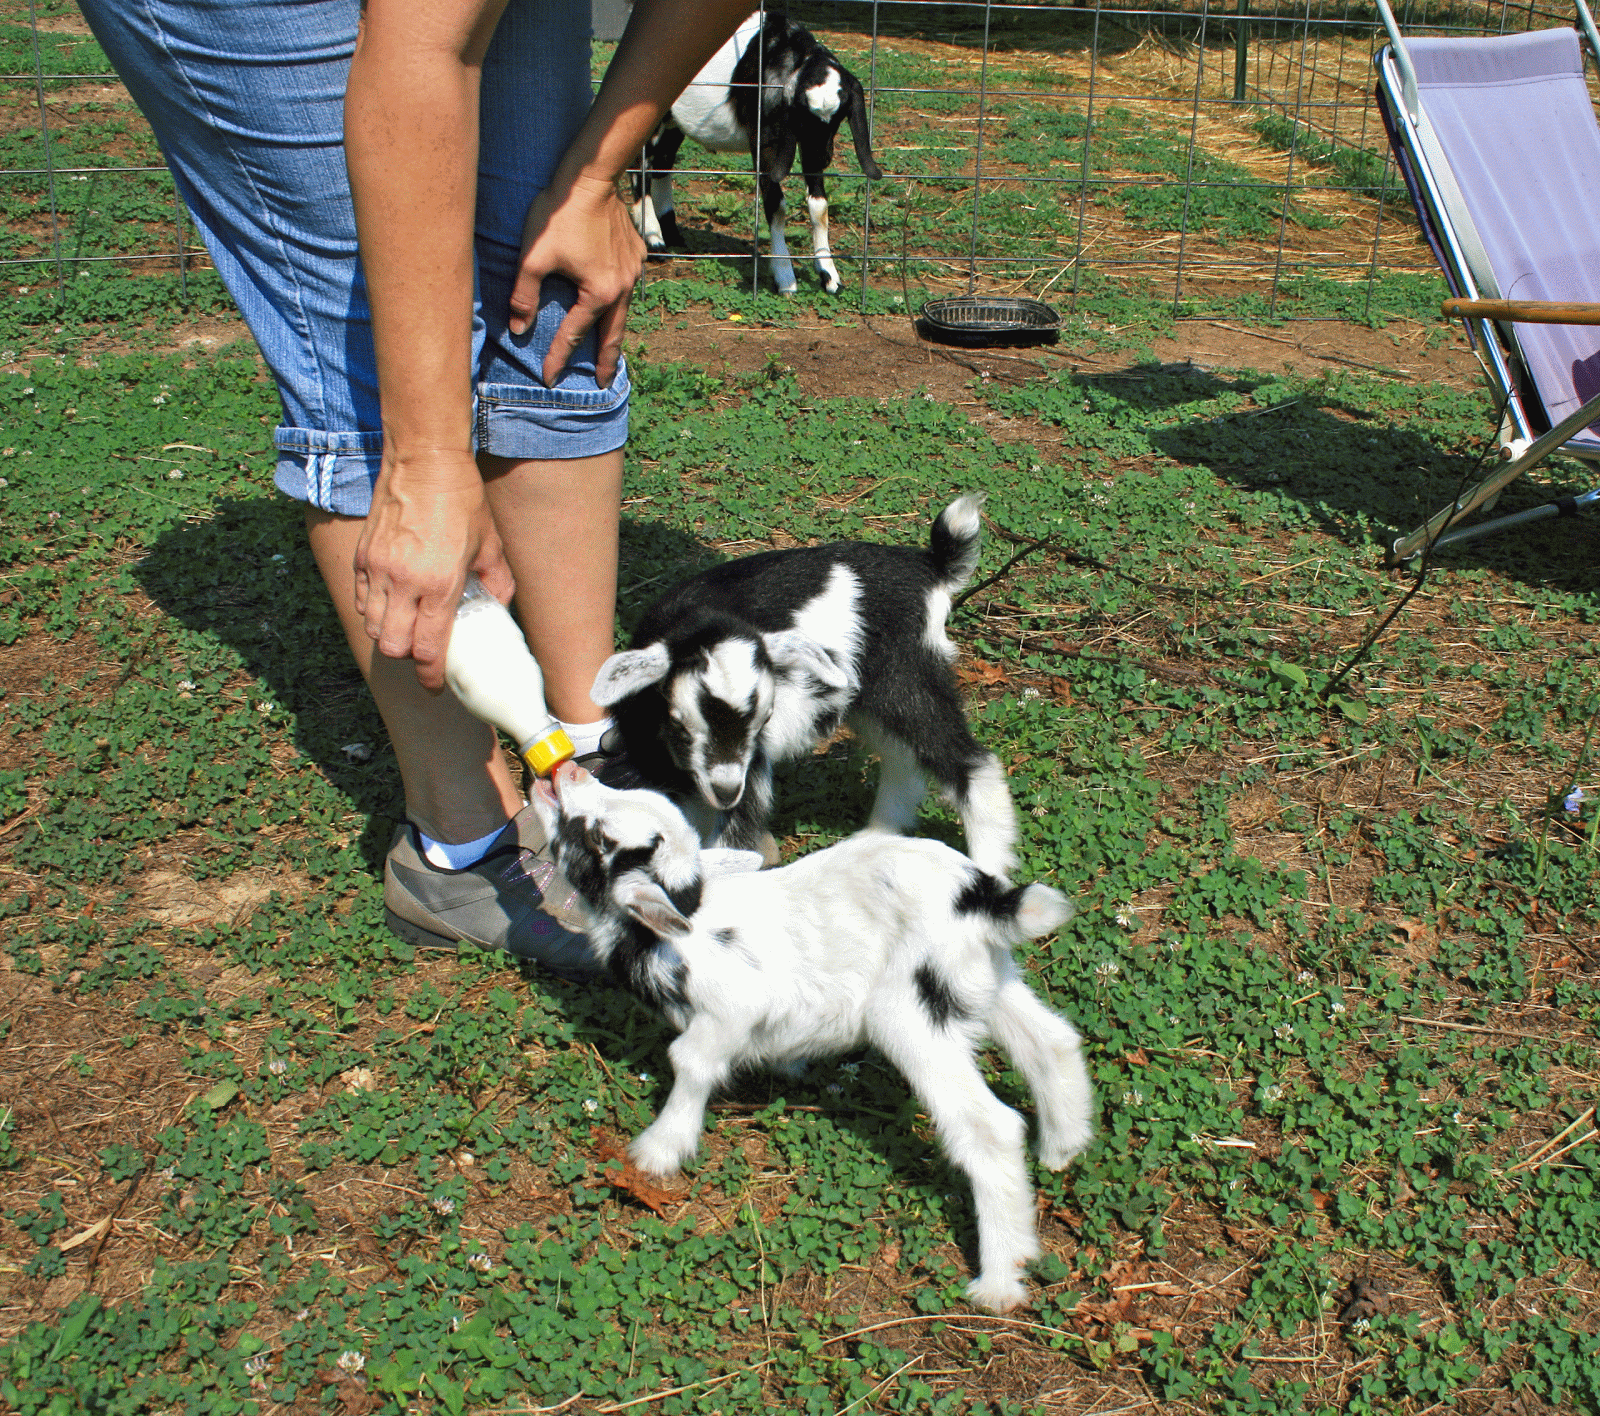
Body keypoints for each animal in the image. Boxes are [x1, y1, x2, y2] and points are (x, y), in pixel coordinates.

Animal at [529, 758, 1095, 1312]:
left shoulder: (733, 1006)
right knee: (1052, 1043)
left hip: (911, 1014)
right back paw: (1061, 1149)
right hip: (984, 980)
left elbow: (690, 1061)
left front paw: (659, 1149)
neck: (684, 914)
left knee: (991, 1126)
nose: (565, 771)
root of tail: (980, 897)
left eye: (599, 837)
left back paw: (999, 1282)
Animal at [590, 494, 1019, 878]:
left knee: (967, 760)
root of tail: (928, 565)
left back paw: (989, 866)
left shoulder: (749, 767)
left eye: (762, 721)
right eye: (680, 726)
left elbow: (735, 838)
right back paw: (876, 839)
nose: (726, 791)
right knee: (902, 758)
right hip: (869, 697)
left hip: (906, 676)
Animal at [631, 11, 883, 295]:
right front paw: (785, 277)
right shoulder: (765, 143)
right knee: (640, 166)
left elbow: (819, 207)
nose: (823, 157)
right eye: (802, 115)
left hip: (674, 123)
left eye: (839, 116)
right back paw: (653, 239)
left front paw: (829, 275)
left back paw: (671, 234)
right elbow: (777, 205)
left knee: (662, 162)